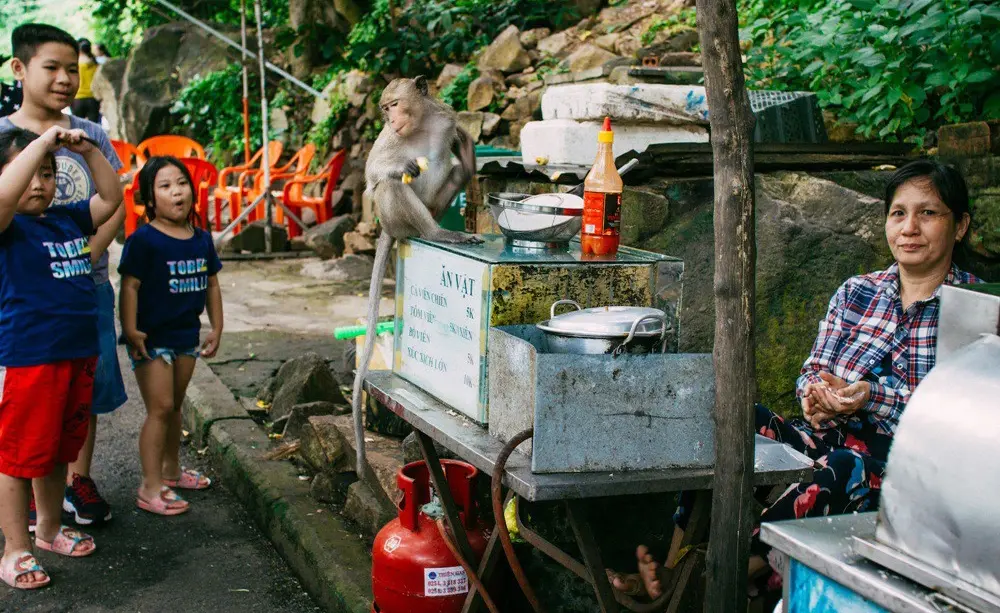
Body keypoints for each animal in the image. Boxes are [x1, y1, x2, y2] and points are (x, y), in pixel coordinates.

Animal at [350, 75, 482, 483]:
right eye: (385, 110)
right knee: (392, 187)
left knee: (452, 171)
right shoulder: (388, 142)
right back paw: (436, 233)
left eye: (394, 104)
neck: (419, 124)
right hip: (394, 218)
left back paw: (461, 176)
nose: (392, 120)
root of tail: (389, 229)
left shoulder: (447, 120)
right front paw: (398, 166)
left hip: (435, 205)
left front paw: (467, 153)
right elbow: (374, 176)